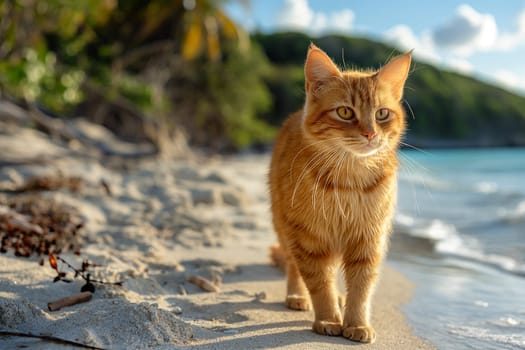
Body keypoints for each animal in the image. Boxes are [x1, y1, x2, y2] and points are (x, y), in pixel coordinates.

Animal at [268, 43, 412, 342]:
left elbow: (361, 287)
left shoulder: (368, 239)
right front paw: (328, 318)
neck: (350, 180)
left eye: (382, 114)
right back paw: (298, 296)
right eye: (345, 112)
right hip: (285, 228)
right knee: (294, 267)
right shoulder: (309, 238)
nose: (370, 134)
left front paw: (356, 323)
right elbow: (319, 283)